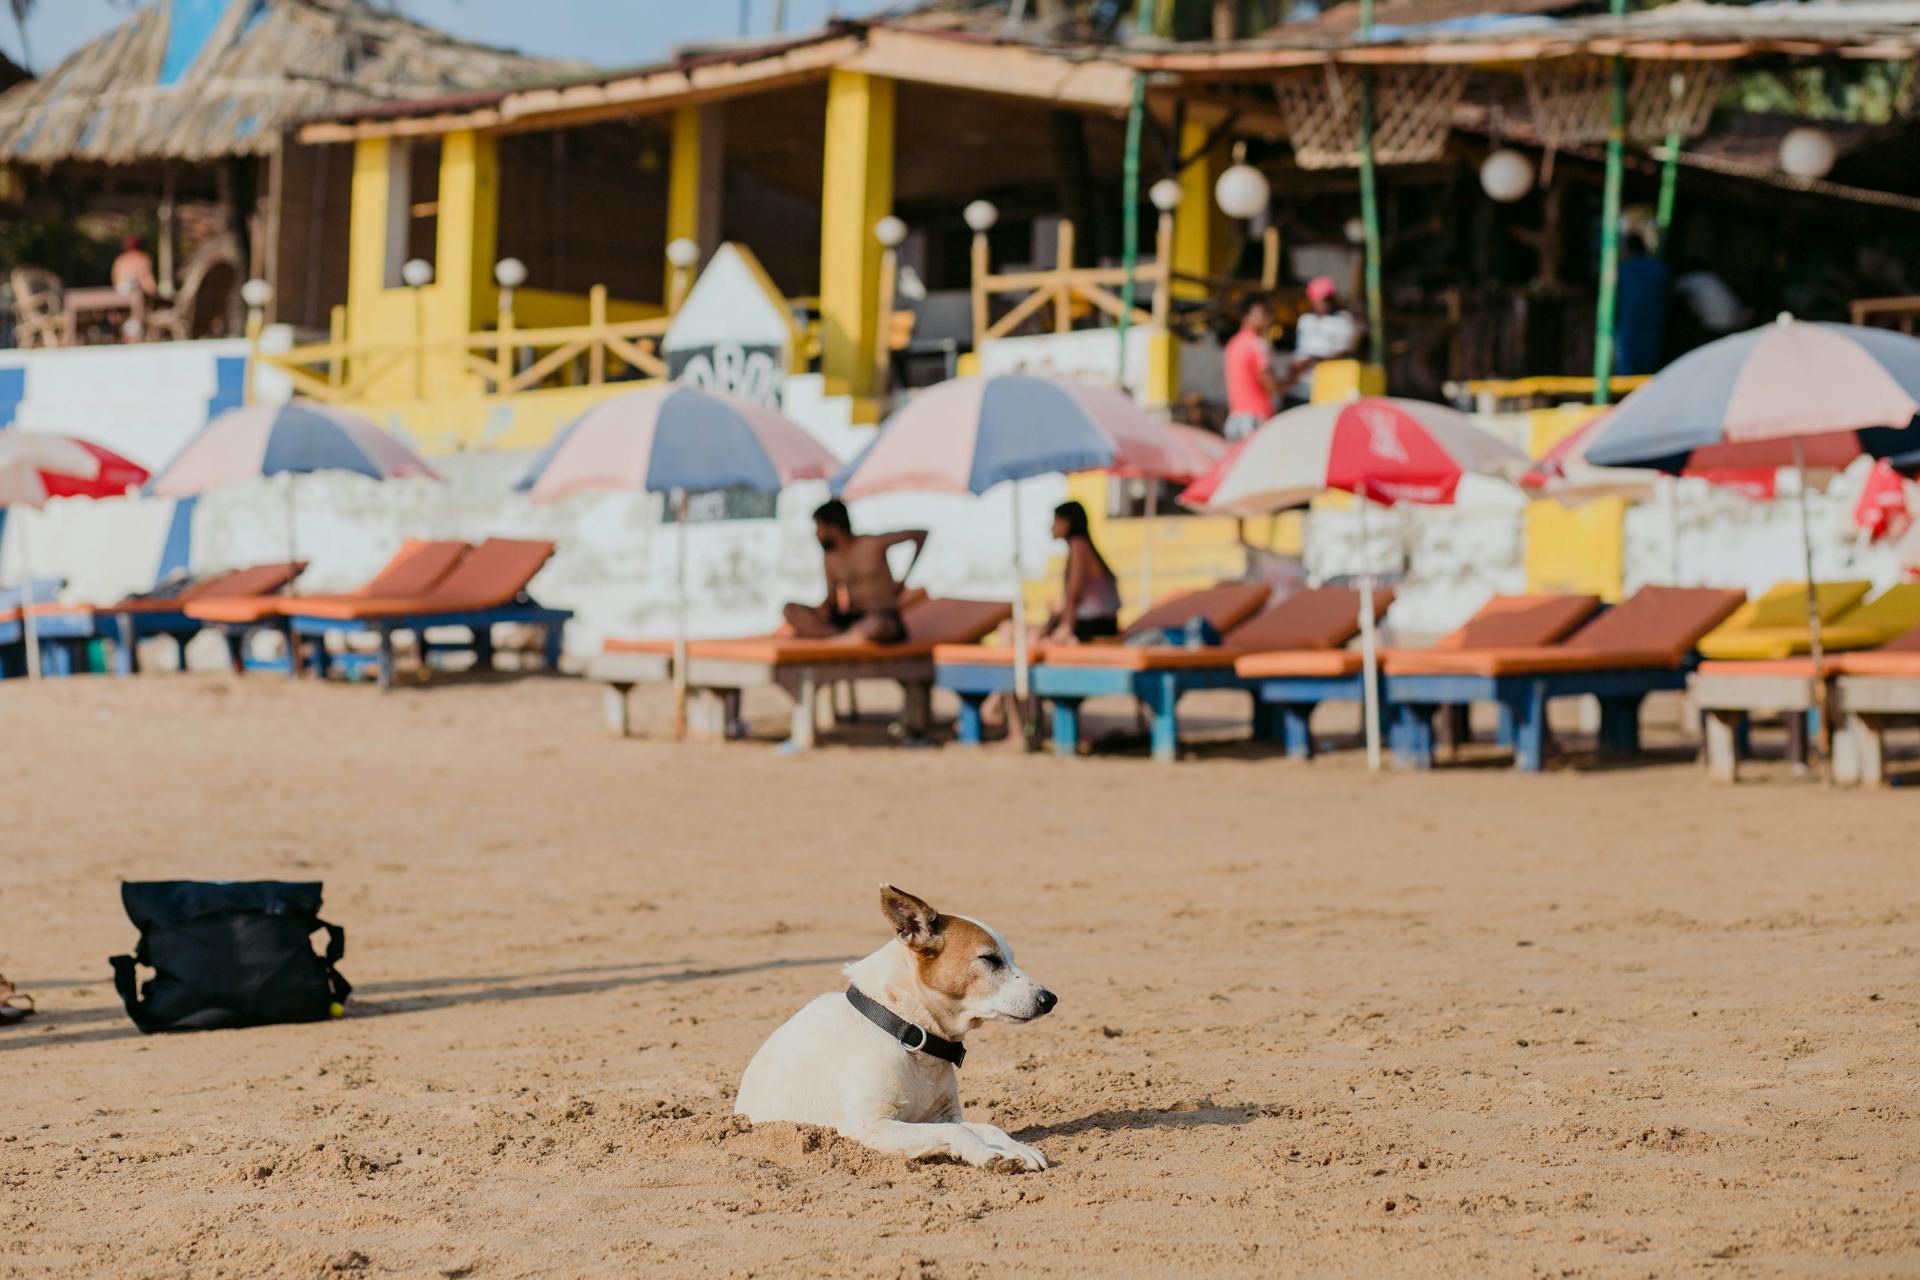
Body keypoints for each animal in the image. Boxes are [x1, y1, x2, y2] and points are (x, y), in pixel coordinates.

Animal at [737, 890, 1067, 1174]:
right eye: (989, 959)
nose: (1050, 999)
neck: (903, 1028)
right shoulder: (870, 1126)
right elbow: (958, 1131)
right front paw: (989, 1154)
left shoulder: (938, 1115)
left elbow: (986, 1127)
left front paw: (1017, 1148)